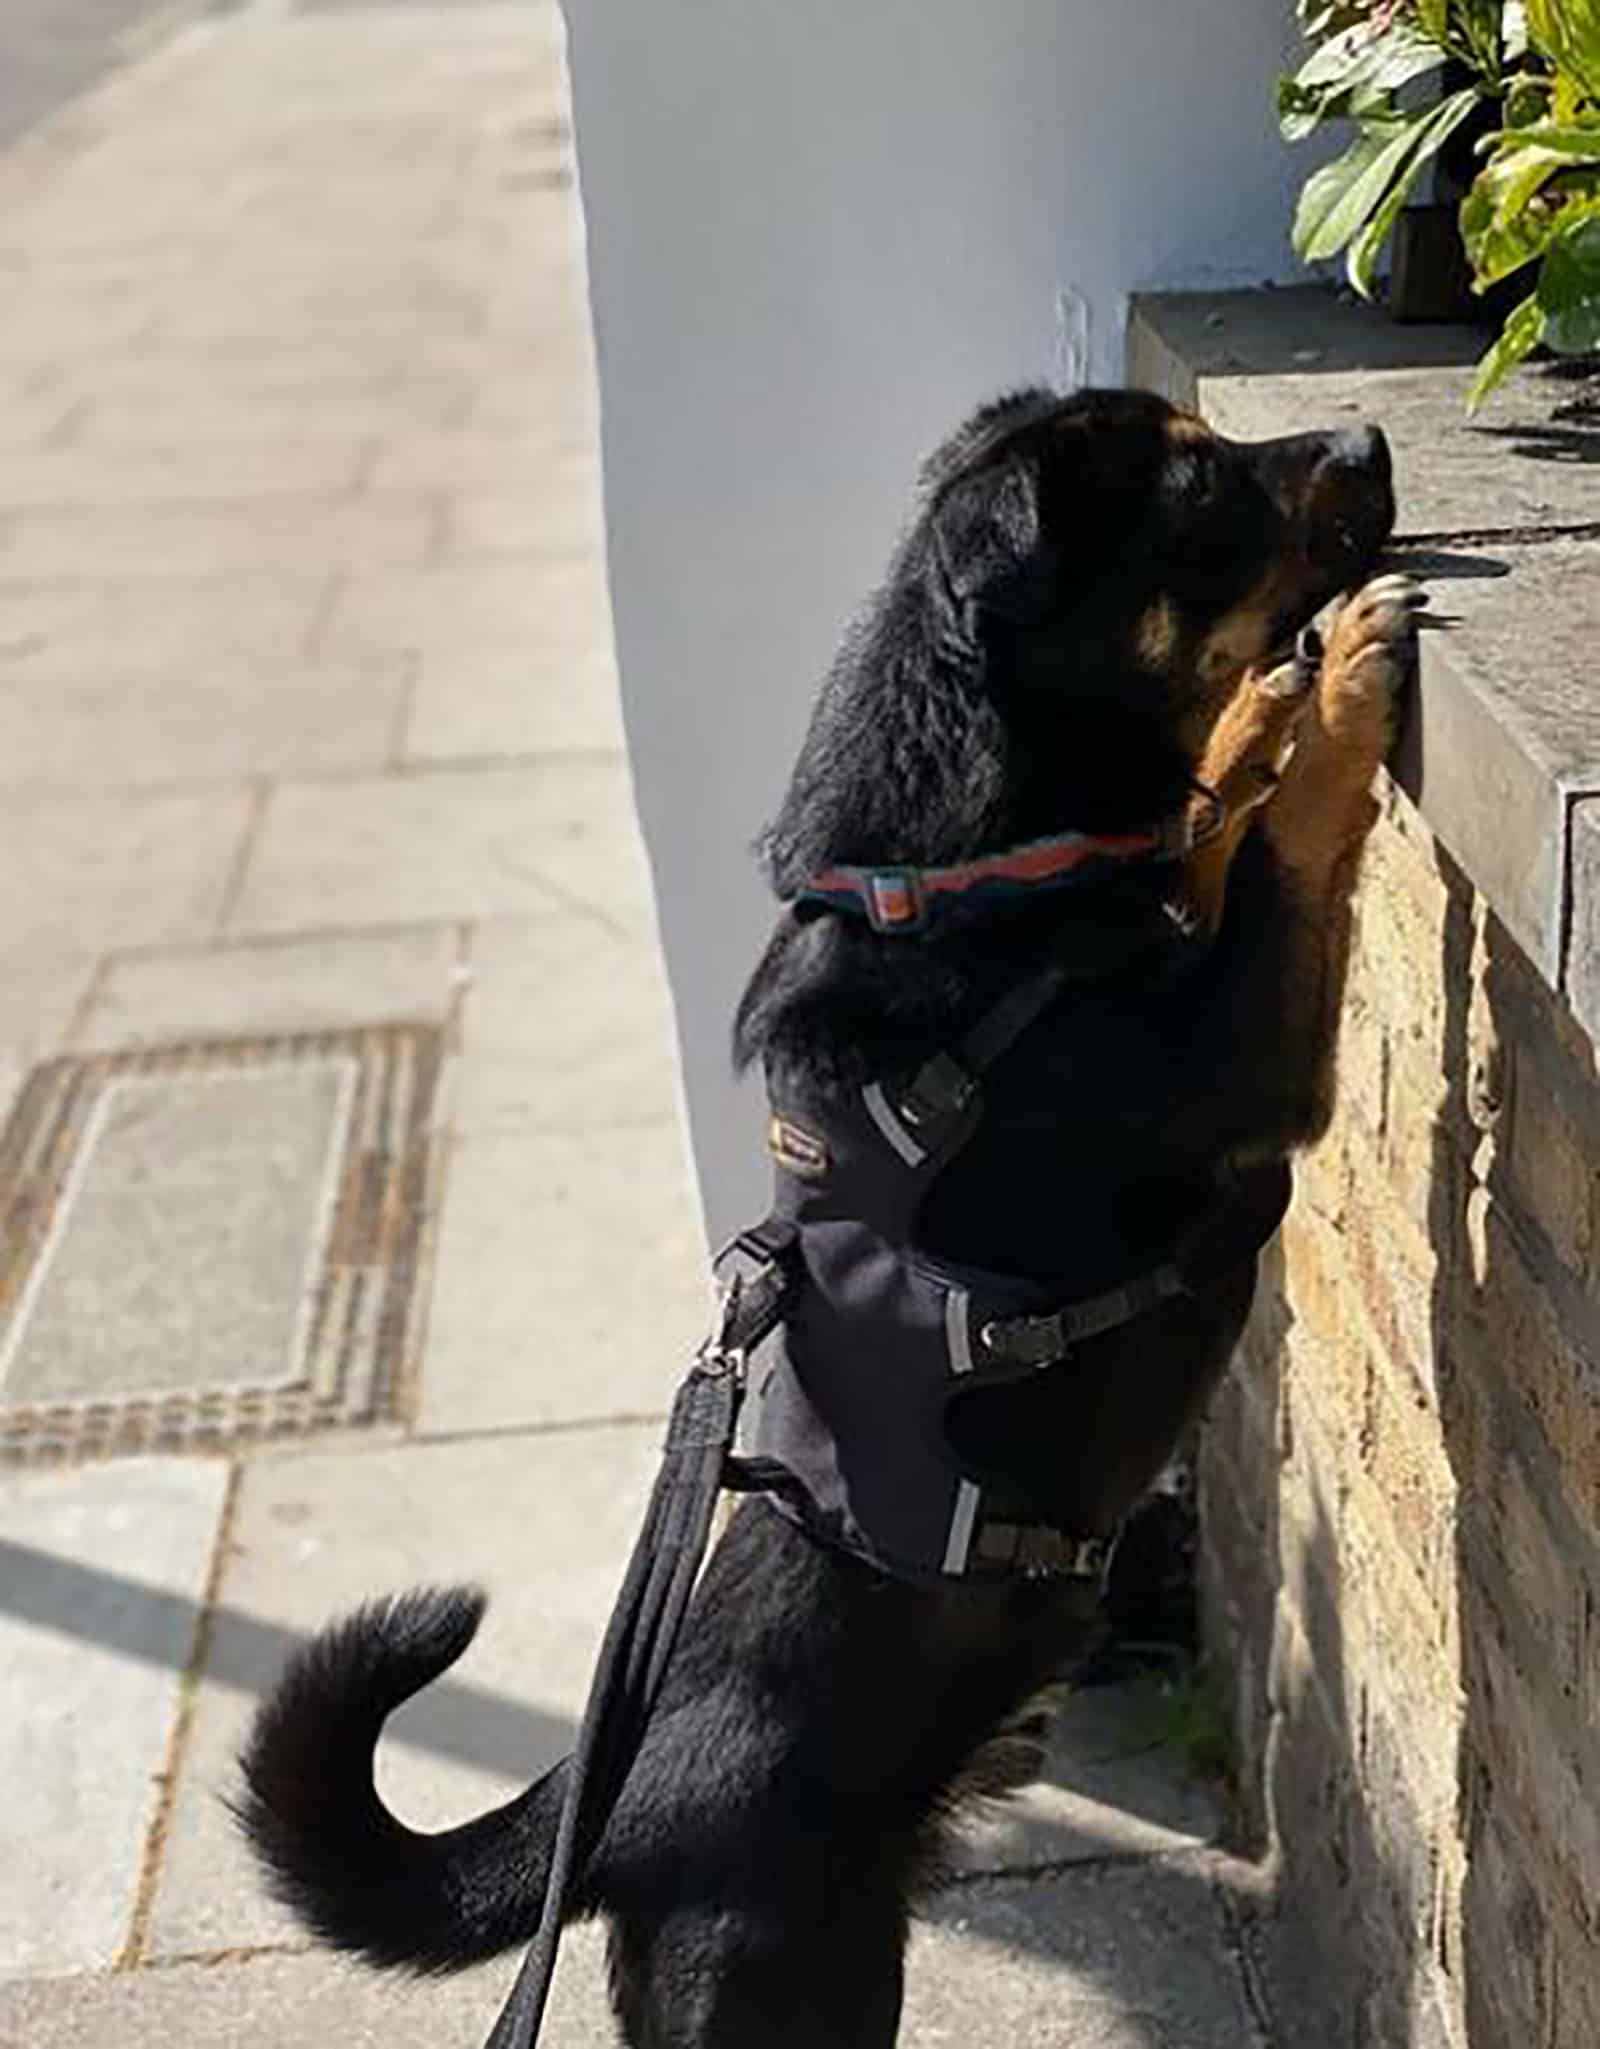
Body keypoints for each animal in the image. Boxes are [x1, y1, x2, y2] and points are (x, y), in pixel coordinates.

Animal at [237, 381, 1409, 2032]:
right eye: (1196, 481)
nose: (1371, 441)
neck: (980, 885)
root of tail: (621, 1800)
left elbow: (1221, 828)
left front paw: (1256, 719)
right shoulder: (1240, 1068)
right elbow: (1288, 864)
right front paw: (1338, 693)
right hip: (793, 1975)